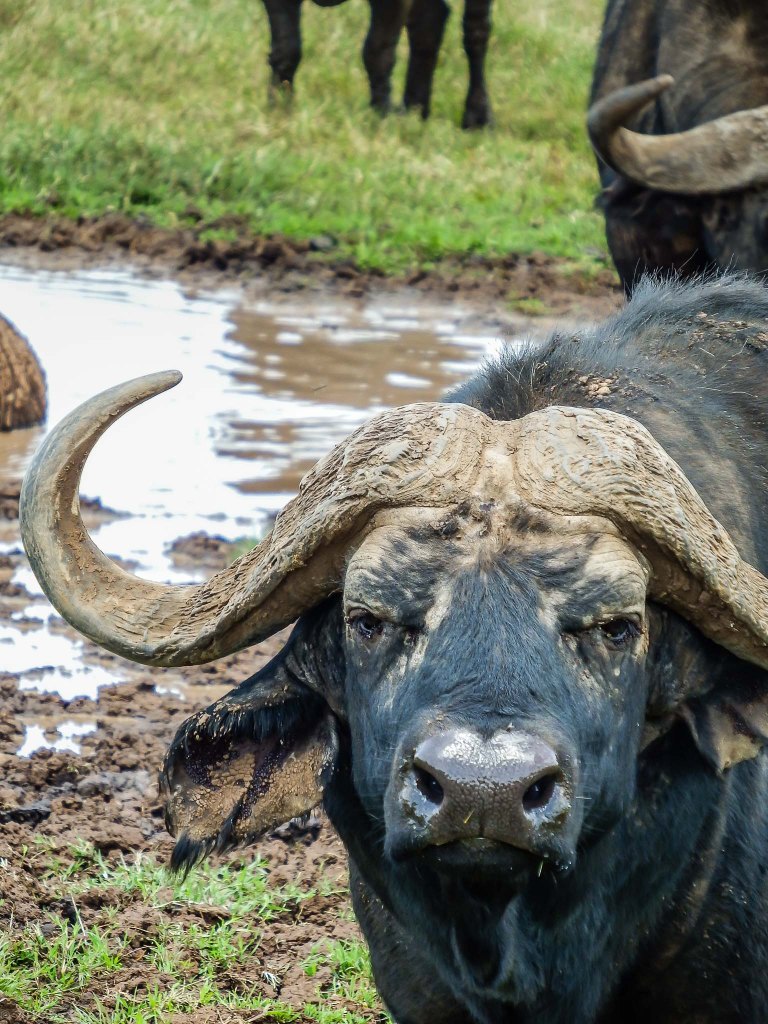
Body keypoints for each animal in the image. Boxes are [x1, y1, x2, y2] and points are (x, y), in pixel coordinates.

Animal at [263, 0, 493, 128]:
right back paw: (415, 110)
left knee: (475, 30)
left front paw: (382, 115)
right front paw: (280, 108)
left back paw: (478, 117)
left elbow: (377, 51)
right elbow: (287, 50)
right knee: (430, 20)